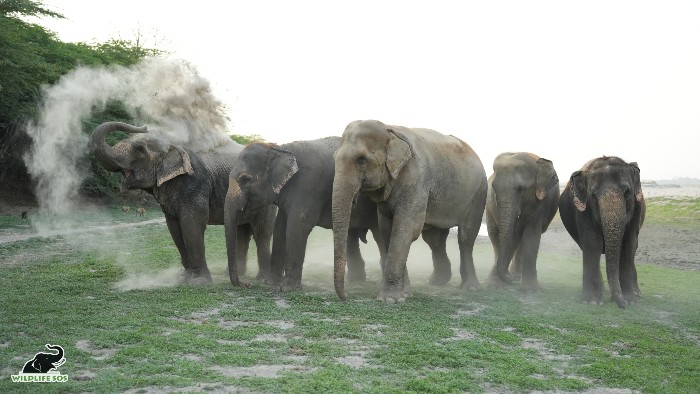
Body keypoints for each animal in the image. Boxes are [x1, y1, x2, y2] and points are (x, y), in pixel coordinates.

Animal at [91, 121, 278, 284]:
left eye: (139, 149)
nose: (144, 127)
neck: (172, 146)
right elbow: (174, 227)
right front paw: (183, 279)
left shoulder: (195, 183)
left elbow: (191, 224)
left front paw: (198, 282)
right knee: (241, 232)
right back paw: (232, 274)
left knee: (261, 232)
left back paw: (262, 278)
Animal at [224, 138, 382, 290]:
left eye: (245, 179)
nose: (247, 284)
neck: (280, 148)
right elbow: (280, 227)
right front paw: (270, 283)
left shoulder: (309, 185)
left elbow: (297, 226)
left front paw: (287, 288)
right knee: (351, 236)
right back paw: (356, 281)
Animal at [332, 119, 486, 302]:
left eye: (361, 160)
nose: (345, 298)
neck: (390, 129)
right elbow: (387, 231)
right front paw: (404, 294)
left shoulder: (416, 180)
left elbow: (405, 229)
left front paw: (389, 299)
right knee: (435, 239)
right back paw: (437, 282)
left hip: (478, 194)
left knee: (466, 238)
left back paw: (471, 287)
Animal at [484, 152, 560, 290]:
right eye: (494, 188)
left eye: (520, 189)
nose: (510, 280)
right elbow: (512, 236)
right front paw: (494, 285)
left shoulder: (540, 202)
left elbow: (531, 235)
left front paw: (529, 289)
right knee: (494, 236)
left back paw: (516, 277)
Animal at [556, 155, 644, 308]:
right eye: (594, 196)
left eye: (627, 192)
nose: (621, 305)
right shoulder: (583, 209)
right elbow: (592, 243)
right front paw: (591, 301)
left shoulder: (637, 206)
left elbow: (629, 243)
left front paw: (630, 300)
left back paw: (636, 293)